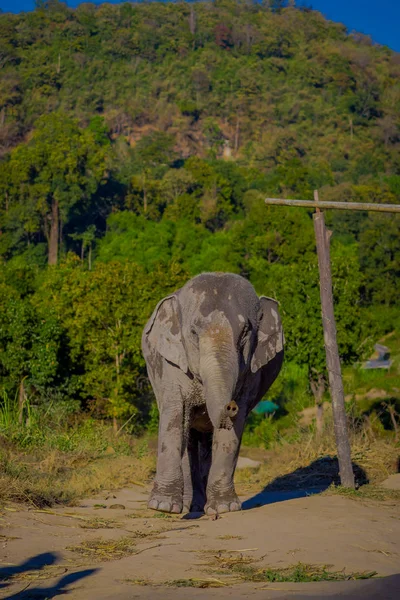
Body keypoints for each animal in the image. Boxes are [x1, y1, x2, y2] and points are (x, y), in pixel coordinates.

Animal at [142, 272, 282, 516]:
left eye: (245, 333)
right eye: (193, 333)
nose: (230, 405)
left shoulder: (250, 375)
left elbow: (232, 431)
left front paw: (225, 508)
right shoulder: (171, 365)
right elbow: (176, 416)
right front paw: (163, 507)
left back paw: (200, 505)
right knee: (189, 437)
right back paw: (189, 506)